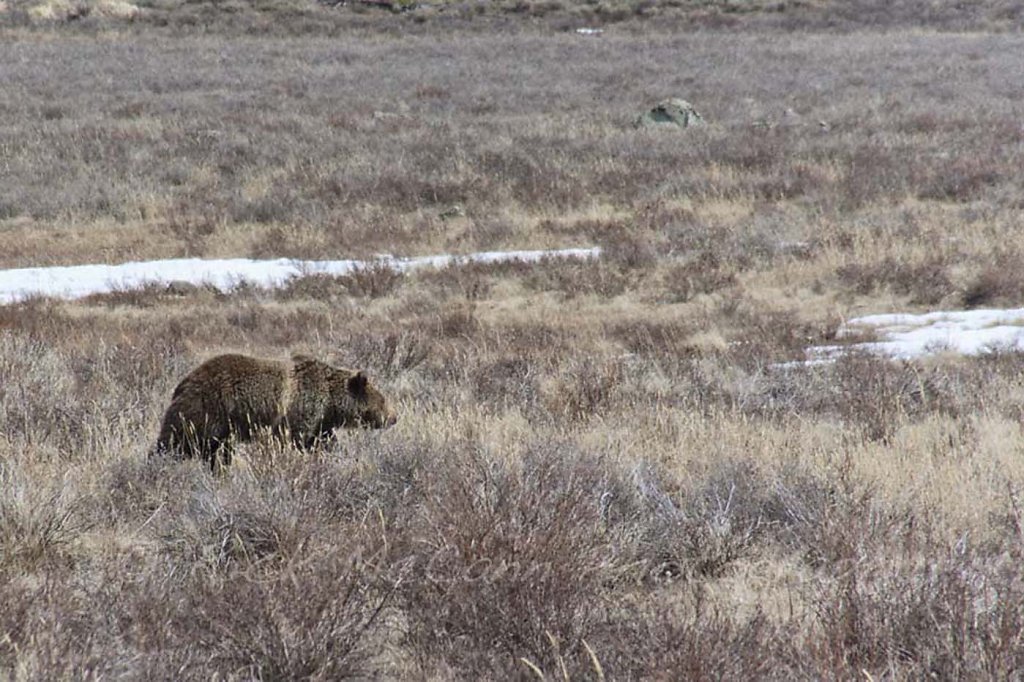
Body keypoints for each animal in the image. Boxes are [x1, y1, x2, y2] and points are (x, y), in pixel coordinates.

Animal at [154, 350, 395, 466]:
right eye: (383, 400)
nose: (394, 417)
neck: (330, 401)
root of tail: (182, 383)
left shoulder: (321, 422)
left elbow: (323, 441)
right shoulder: (299, 410)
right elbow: (292, 439)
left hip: (220, 429)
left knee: (217, 453)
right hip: (206, 410)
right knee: (174, 440)